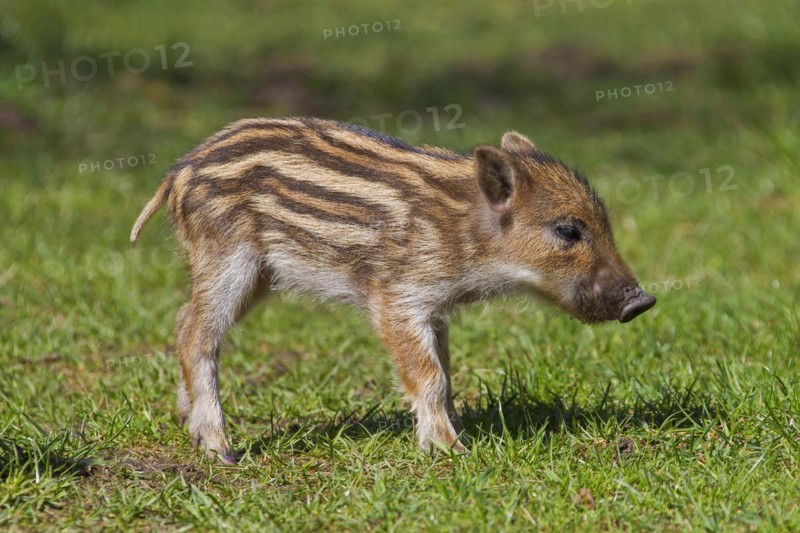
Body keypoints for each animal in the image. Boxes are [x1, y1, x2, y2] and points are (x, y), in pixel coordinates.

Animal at [130, 117, 655, 464]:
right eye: (568, 230)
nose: (642, 300)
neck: (466, 233)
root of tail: (178, 172)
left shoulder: (436, 307)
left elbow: (446, 370)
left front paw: (457, 432)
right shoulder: (399, 299)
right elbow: (429, 375)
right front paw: (452, 451)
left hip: (256, 274)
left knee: (183, 319)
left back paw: (188, 424)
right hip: (227, 259)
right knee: (197, 333)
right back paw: (220, 449)